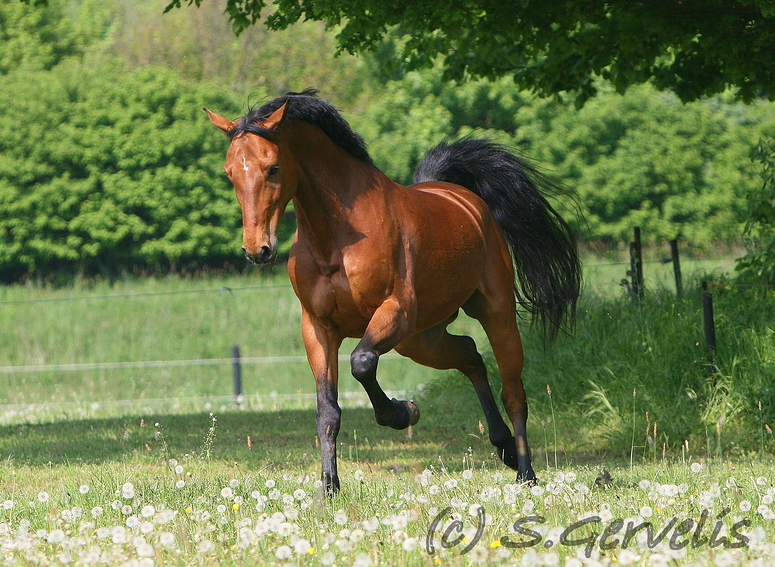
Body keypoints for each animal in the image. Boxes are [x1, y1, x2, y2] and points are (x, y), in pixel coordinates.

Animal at [206, 91, 584, 494]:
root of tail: (463, 199)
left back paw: (526, 472)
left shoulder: (394, 312)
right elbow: (328, 411)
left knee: (513, 392)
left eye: (273, 168)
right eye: (229, 172)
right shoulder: (319, 328)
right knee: (470, 355)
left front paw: (403, 412)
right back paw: (505, 448)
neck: (337, 241)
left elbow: (361, 363)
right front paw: (329, 487)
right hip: (421, 339)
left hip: (493, 315)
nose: (257, 250)